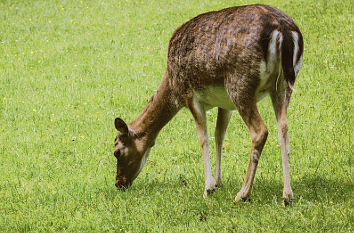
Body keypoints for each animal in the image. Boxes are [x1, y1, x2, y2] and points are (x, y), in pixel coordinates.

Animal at [114, 2, 304, 205]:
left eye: (117, 152)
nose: (119, 183)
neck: (172, 84)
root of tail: (282, 30)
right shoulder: (225, 104)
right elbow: (219, 135)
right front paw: (219, 180)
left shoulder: (190, 95)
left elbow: (203, 138)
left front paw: (208, 187)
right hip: (283, 85)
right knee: (283, 127)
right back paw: (287, 195)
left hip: (240, 84)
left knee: (260, 131)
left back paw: (243, 193)